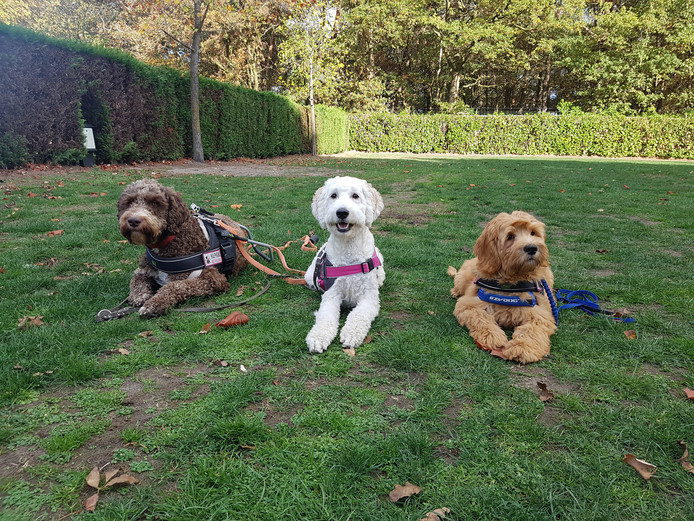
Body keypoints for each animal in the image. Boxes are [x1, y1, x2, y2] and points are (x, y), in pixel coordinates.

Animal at [118, 179, 249, 316]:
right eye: (129, 202)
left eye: (155, 202)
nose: (133, 220)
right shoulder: (144, 270)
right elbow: (136, 280)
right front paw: (139, 296)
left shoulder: (211, 278)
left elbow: (175, 286)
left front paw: (154, 303)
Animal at [304, 176, 386, 354]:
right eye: (333, 196)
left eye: (355, 196)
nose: (342, 212)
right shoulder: (331, 294)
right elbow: (325, 316)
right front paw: (318, 337)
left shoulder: (369, 298)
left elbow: (358, 315)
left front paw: (351, 334)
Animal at [452, 210, 560, 362]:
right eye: (510, 236)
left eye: (533, 233)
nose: (532, 248)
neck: (511, 284)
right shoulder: (469, 304)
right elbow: (481, 318)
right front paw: (492, 336)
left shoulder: (541, 312)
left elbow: (533, 329)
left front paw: (522, 347)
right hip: (462, 279)